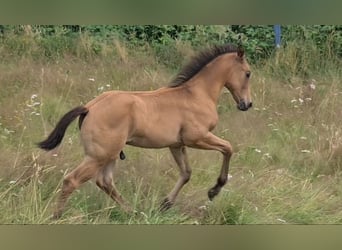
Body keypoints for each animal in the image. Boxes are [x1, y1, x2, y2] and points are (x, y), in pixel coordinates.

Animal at [38, 43, 251, 219]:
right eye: (248, 73)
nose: (247, 104)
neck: (196, 94)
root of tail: (89, 107)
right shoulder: (197, 138)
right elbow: (228, 148)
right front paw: (214, 190)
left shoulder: (176, 145)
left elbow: (186, 173)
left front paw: (165, 204)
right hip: (99, 155)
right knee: (72, 180)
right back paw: (56, 216)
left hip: (110, 154)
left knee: (105, 181)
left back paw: (132, 212)